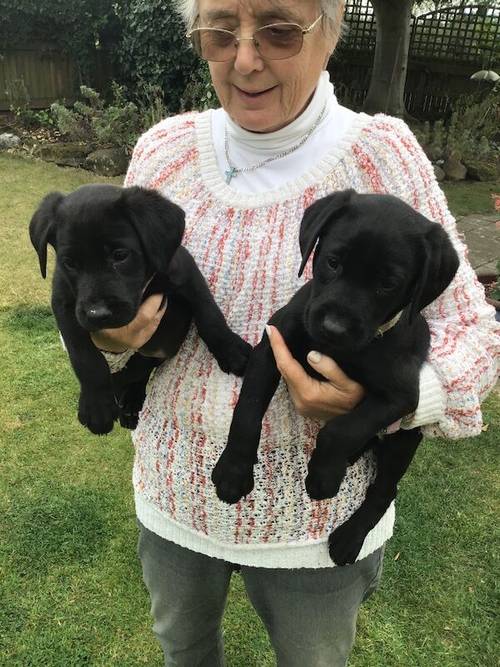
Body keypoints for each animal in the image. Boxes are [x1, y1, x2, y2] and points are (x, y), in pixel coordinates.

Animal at [30, 184, 250, 434]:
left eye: (120, 255)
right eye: (69, 263)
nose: (99, 315)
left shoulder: (185, 270)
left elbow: (209, 314)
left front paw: (231, 350)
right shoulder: (64, 305)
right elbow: (85, 356)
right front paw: (97, 406)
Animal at [211, 190, 458, 568]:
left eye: (388, 284)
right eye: (332, 262)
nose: (333, 329)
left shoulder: (401, 396)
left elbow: (342, 429)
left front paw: (324, 475)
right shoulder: (271, 346)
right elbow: (248, 411)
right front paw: (233, 470)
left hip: (404, 438)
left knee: (385, 488)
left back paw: (348, 538)